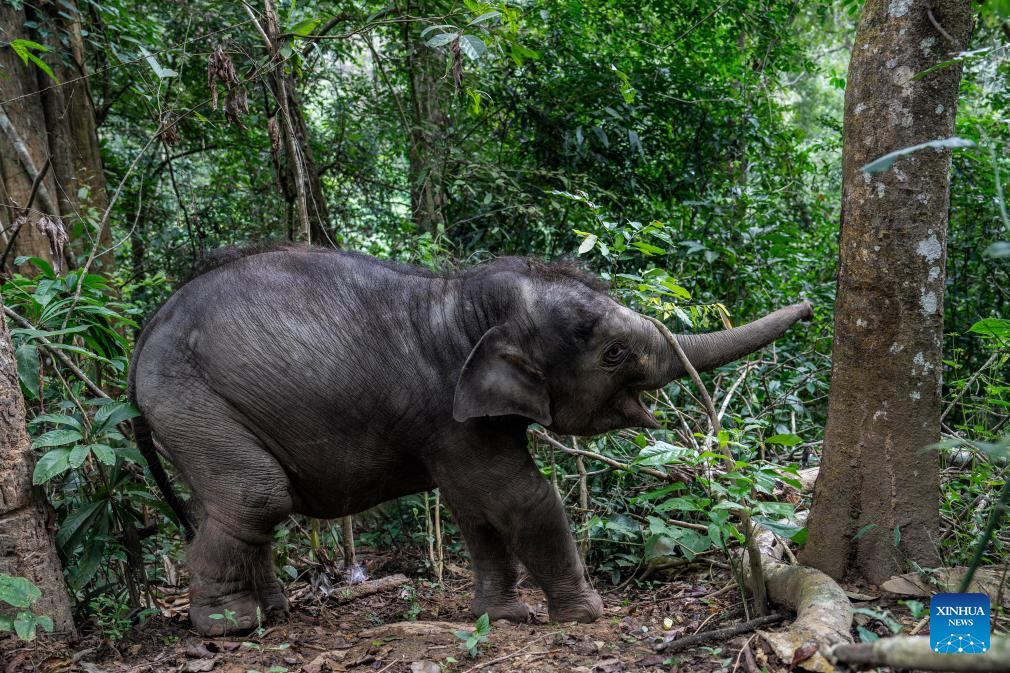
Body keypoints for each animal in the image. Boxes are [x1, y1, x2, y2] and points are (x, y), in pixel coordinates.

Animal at [128, 243, 812, 630]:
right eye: (615, 353)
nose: (810, 306)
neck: (464, 296)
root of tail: (142, 337)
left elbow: (472, 511)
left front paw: (500, 617)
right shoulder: (446, 412)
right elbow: (518, 497)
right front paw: (584, 618)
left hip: (195, 415)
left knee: (236, 506)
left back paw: (271, 613)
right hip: (190, 400)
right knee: (256, 496)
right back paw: (226, 628)